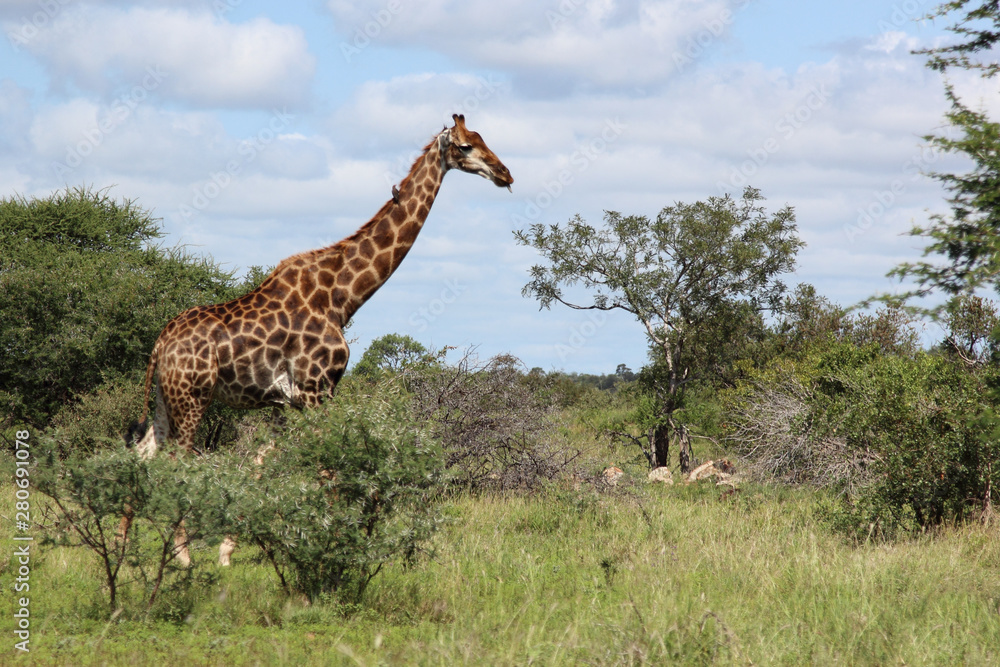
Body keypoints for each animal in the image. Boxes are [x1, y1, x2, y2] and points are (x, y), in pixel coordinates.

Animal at [125, 114, 513, 565]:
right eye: (466, 146)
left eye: (483, 139)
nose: (505, 174)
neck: (342, 296)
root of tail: (160, 344)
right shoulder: (316, 390)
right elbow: (326, 467)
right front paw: (331, 546)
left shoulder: (287, 402)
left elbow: (263, 464)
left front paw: (228, 551)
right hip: (192, 398)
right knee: (177, 463)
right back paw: (182, 557)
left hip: (164, 400)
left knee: (142, 454)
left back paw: (121, 545)